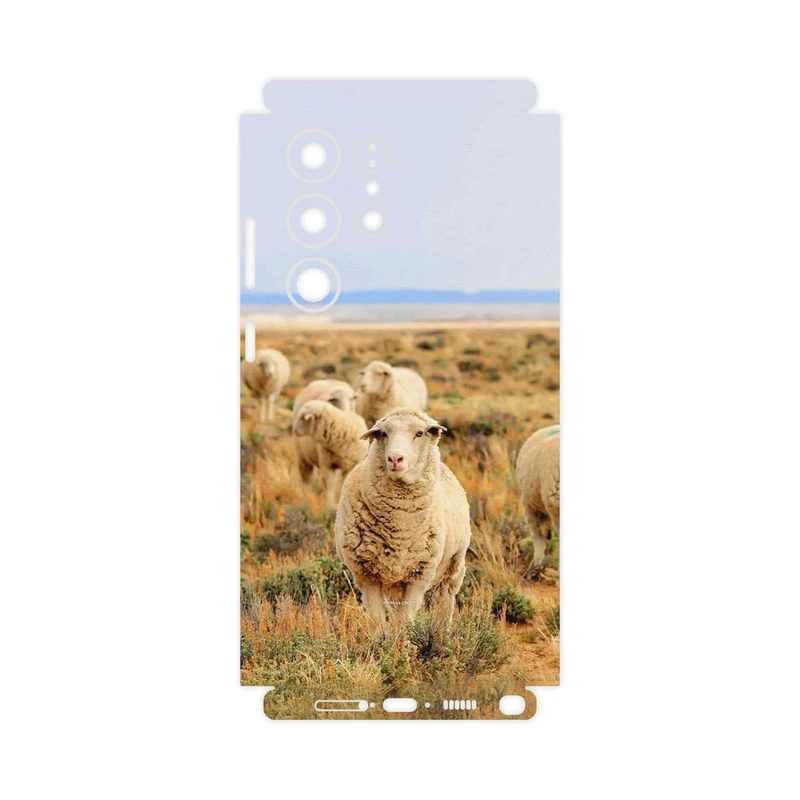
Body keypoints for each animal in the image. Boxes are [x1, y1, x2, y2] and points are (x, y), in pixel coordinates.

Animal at [335, 407, 471, 632]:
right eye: (383, 434)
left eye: (419, 433)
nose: (395, 458)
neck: (400, 527)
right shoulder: (366, 575)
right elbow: (377, 621)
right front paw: (382, 641)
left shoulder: (419, 575)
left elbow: (405, 621)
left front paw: (404, 641)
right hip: (394, 582)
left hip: (453, 566)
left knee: (445, 599)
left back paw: (441, 632)